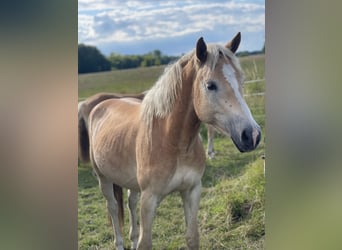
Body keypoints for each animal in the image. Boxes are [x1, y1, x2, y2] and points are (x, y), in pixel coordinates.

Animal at [79, 33, 262, 250]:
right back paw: (120, 243)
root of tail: (100, 104)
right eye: (210, 85)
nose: (252, 135)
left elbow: (192, 237)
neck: (173, 142)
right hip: (104, 179)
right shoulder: (149, 199)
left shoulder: (192, 191)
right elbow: (146, 242)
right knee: (114, 208)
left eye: (241, 80)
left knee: (131, 203)